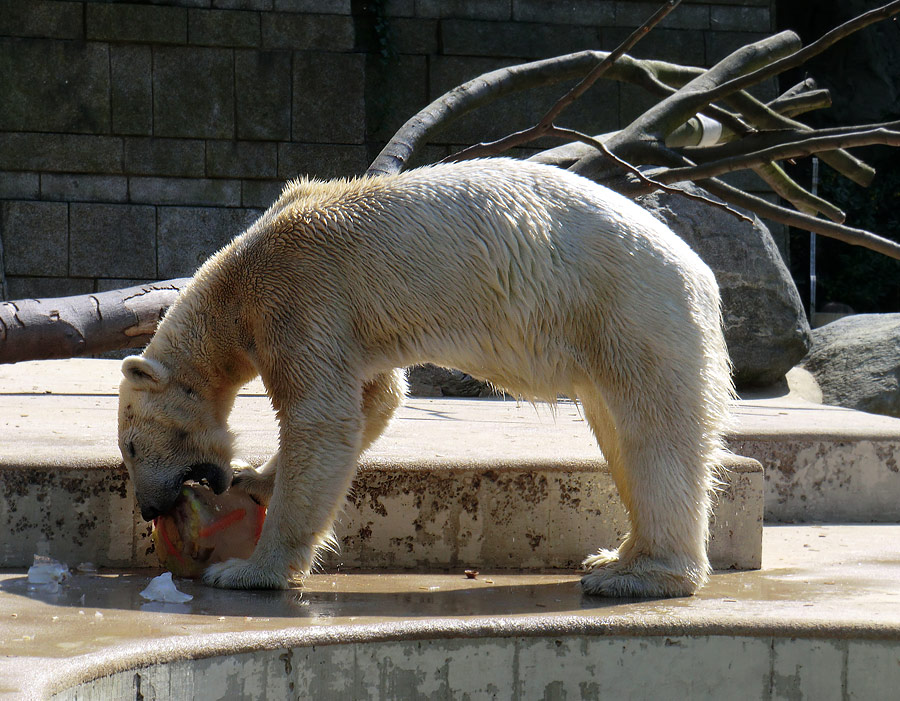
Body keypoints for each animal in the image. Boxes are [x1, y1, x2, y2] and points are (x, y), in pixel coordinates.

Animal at [119, 159, 736, 596]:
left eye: (130, 448)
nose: (148, 509)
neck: (237, 280)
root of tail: (700, 270)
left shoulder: (301, 296)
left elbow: (322, 419)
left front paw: (248, 571)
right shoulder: (349, 329)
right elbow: (376, 399)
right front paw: (254, 478)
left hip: (629, 309)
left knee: (652, 432)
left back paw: (637, 575)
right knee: (617, 429)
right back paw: (613, 556)